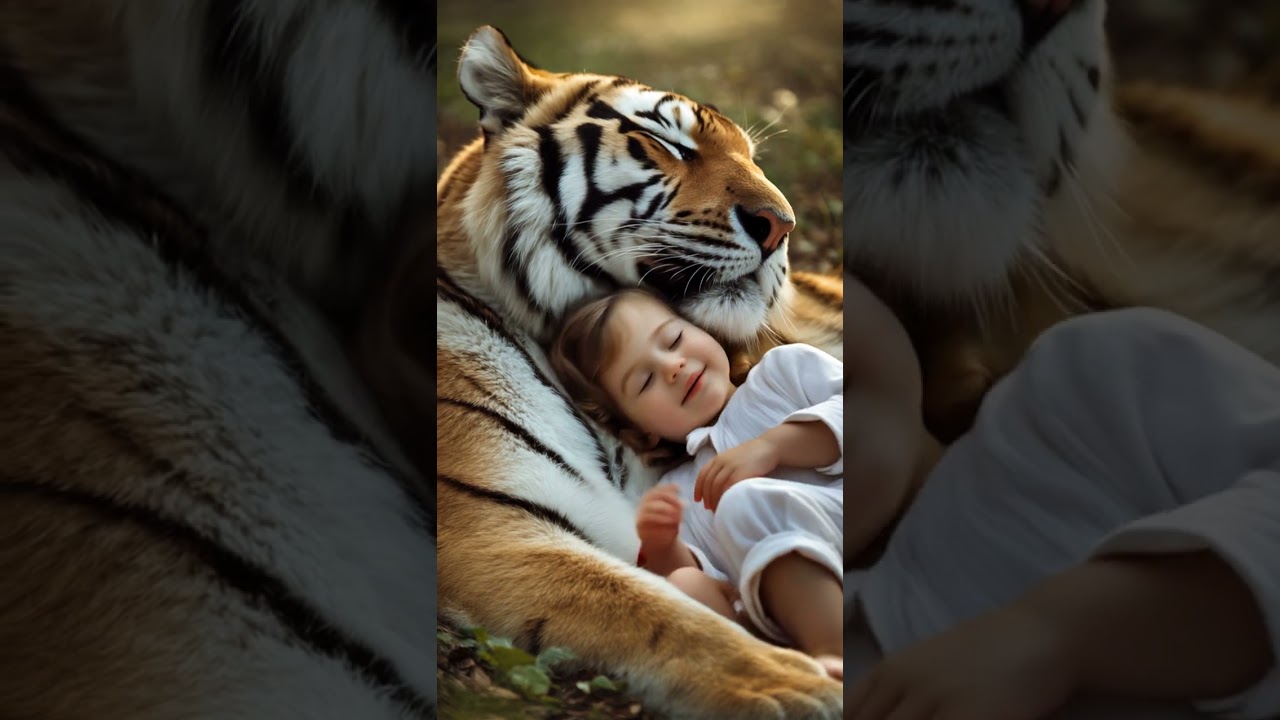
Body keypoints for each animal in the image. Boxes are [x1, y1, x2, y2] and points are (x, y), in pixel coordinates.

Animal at [357, 25, 844, 720]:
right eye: (669, 143)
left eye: (753, 158)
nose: (783, 226)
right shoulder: (489, 527)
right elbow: (643, 603)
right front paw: (786, 684)